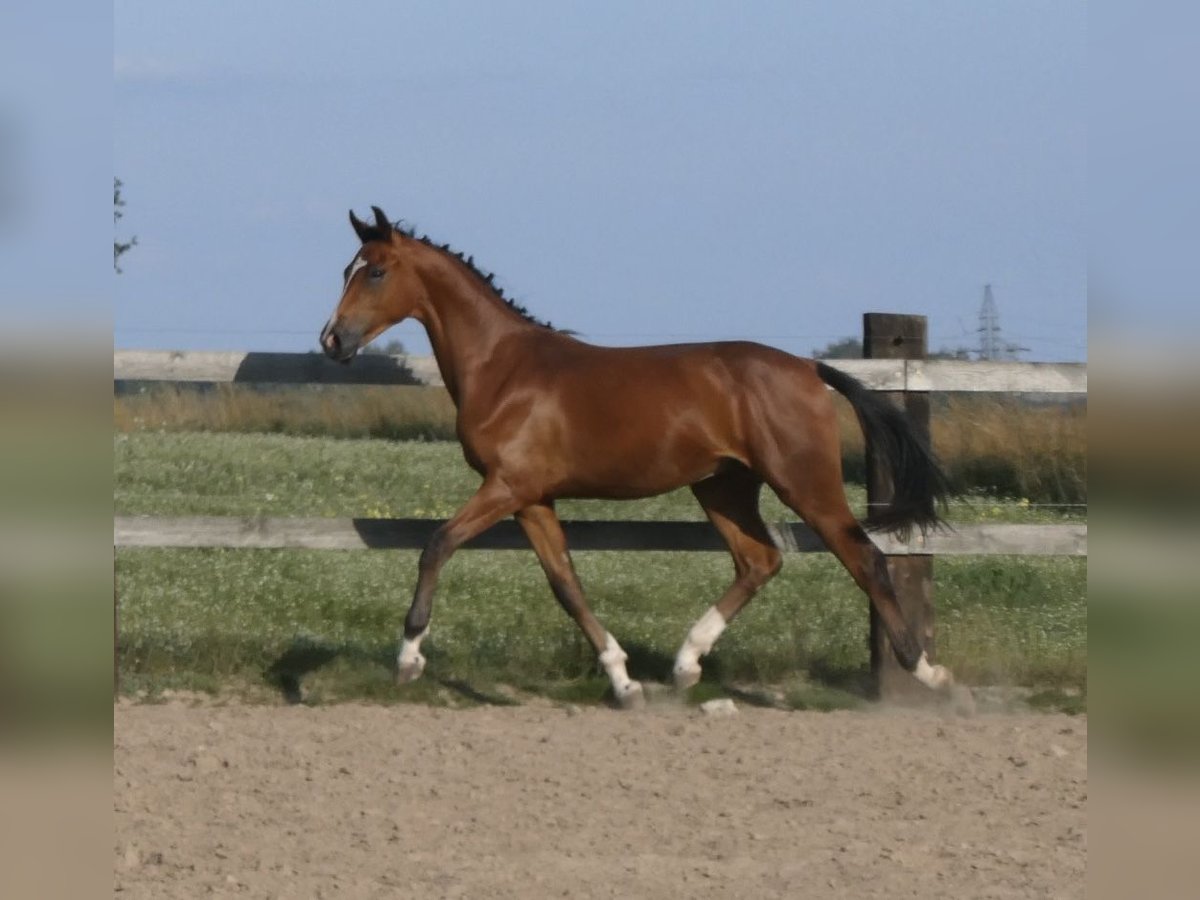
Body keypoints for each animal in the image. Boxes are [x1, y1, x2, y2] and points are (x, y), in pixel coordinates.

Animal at [320, 206, 955, 708]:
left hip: (803, 481)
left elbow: (437, 545)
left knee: (864, 559)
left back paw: (928, 674)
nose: (332, 341)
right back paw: (684, 665)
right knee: (759, 561)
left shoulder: (507, 486)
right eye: (347, 269)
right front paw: (624, 683)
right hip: (722, 486)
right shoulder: (533, 499)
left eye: (375, 271)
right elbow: (566, 584)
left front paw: (408, 659)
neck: (502, 369)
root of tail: (807, 367)